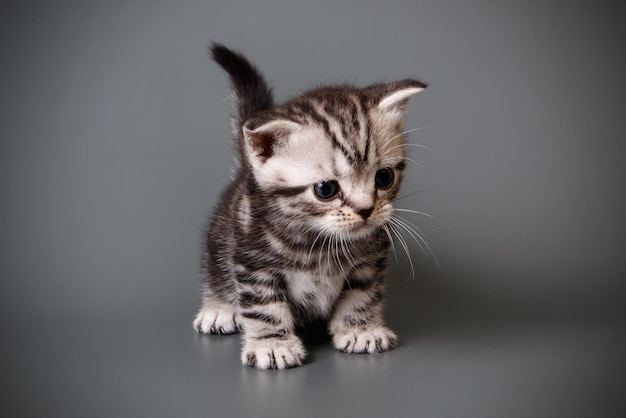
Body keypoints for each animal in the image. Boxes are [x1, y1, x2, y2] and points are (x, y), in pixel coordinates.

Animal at [193, 42, 426, 370]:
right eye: (325, 189)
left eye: (384, 177)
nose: (366, 209)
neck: (319, 242)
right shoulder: (253, 263)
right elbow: (264, 307)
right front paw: (272, 345)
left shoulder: (371, 259)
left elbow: (363, 293)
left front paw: (361, 329)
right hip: (222, 233)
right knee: (215, 266)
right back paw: (219, 308)